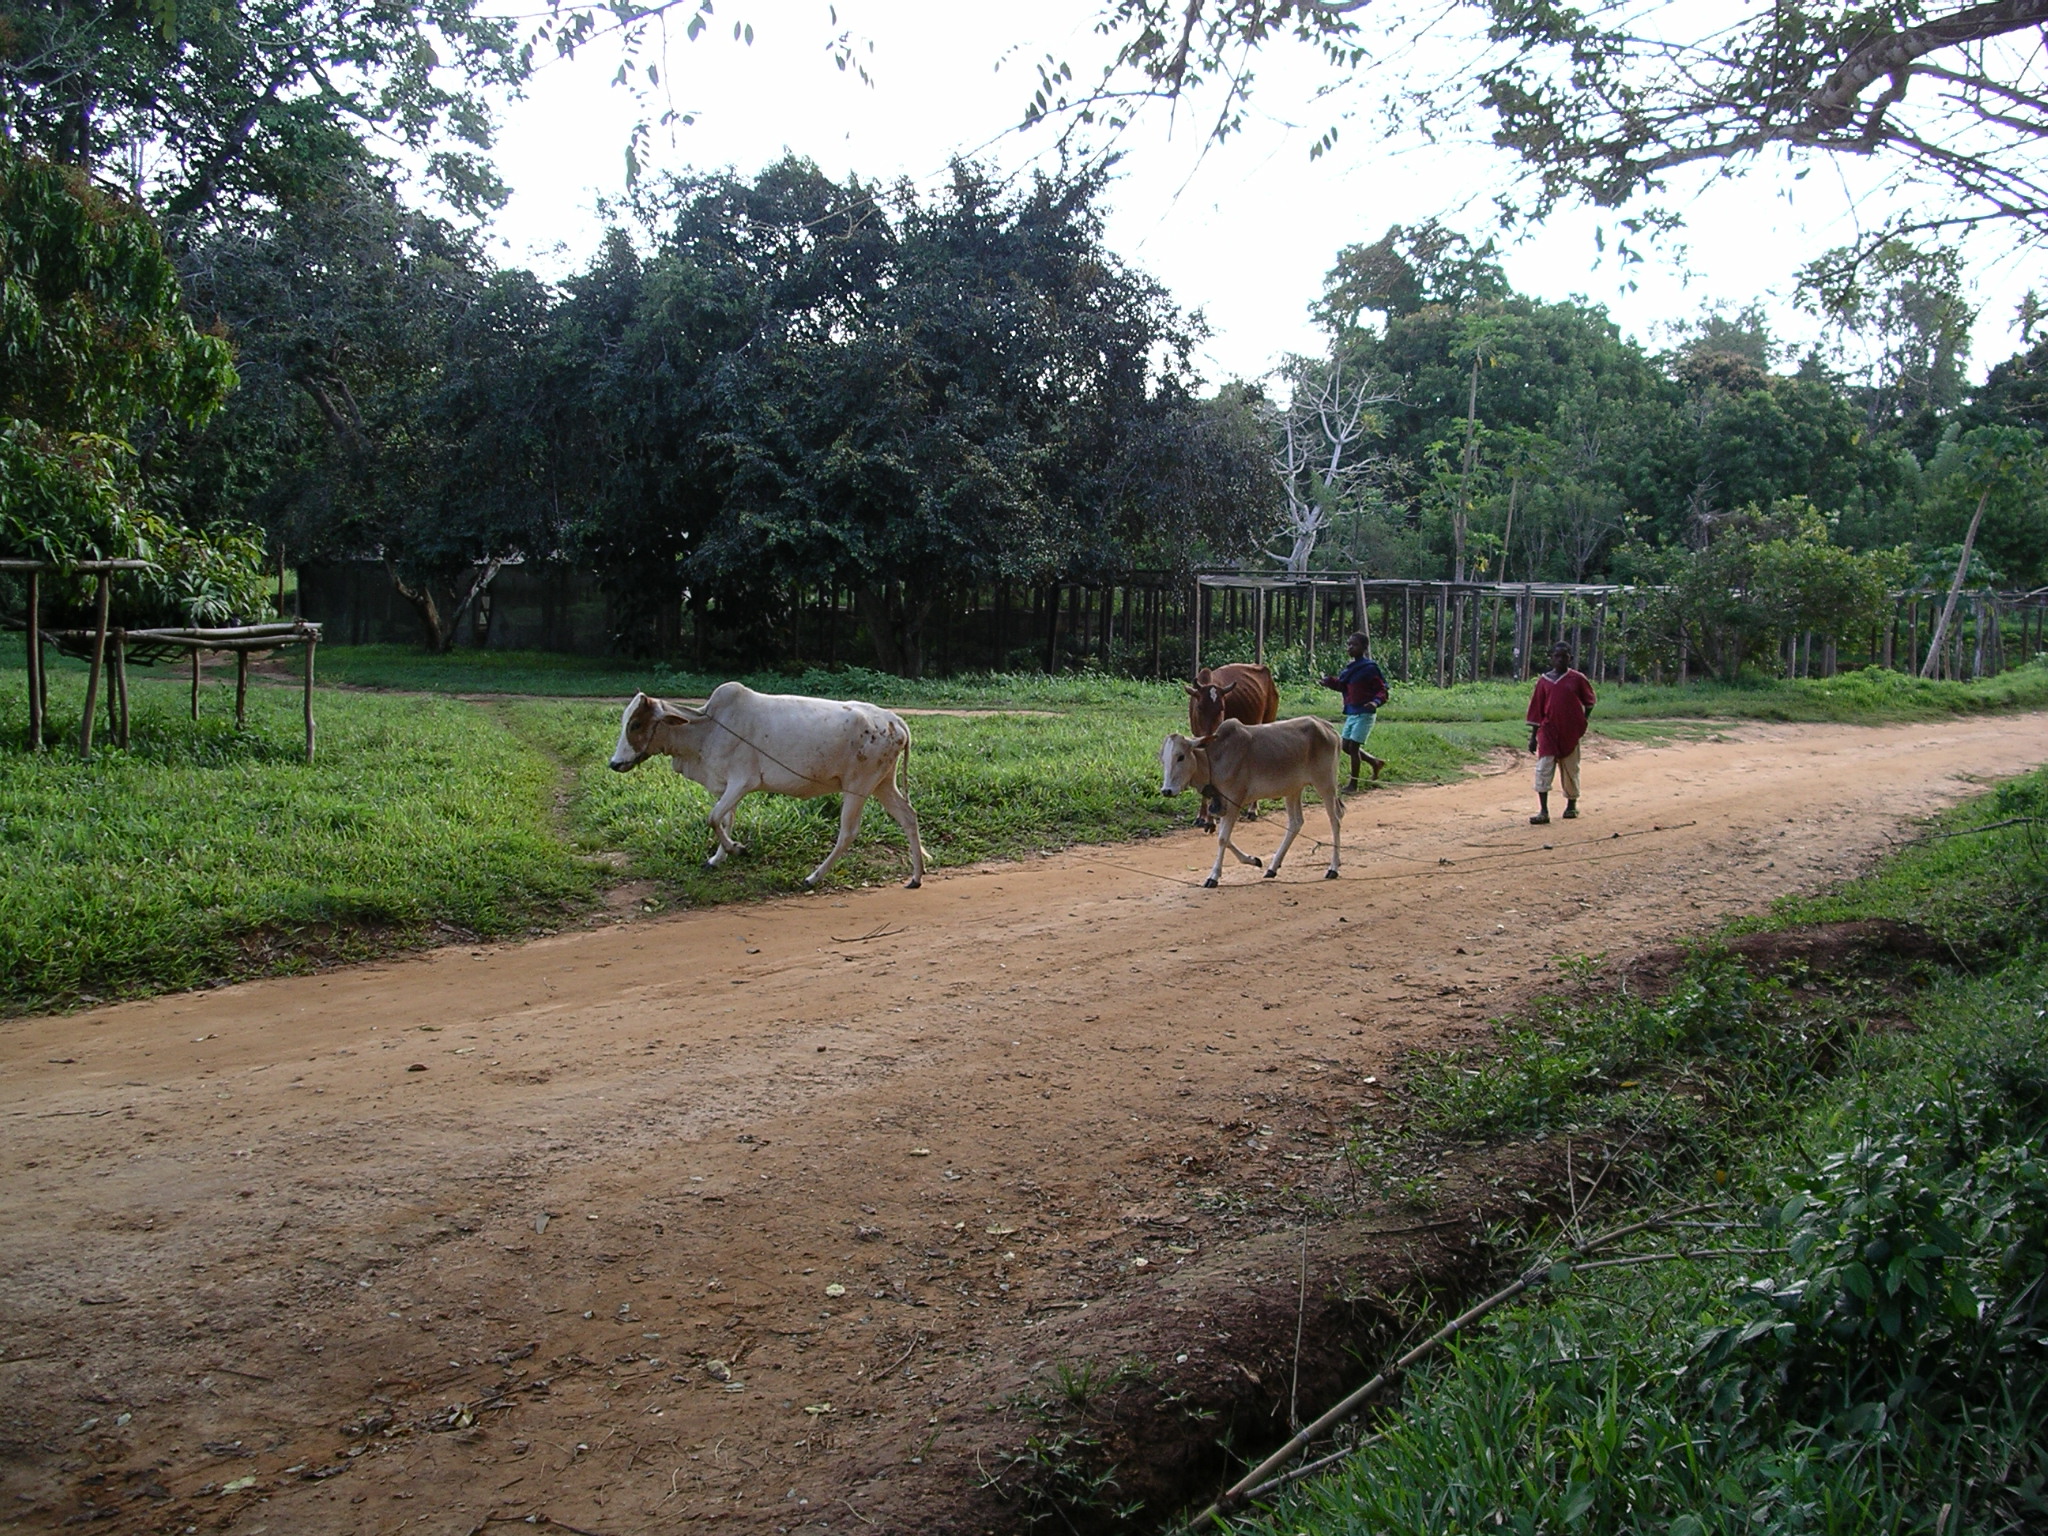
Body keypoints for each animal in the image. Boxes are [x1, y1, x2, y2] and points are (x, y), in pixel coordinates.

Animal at [609, 685, 926, 890]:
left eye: (635, 724)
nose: (614, 763)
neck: (706, 730)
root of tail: (895, 720)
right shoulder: (727, 787)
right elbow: (725, 820)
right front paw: (717, 858)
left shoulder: (742, 782)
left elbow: (713, 818)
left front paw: (737, 849)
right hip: (882, 783)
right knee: (908, 816)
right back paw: (916, 876)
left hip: (857, 786)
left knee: (848, 832)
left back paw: (813, 877)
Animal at [1158, 716, 1343, 887]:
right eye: (1163, 760)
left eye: (1181, 757)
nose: (1166, 790)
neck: (1214, 758)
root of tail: (1327, 726)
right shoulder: (1223, 805)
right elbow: (1223, 837)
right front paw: (1253, 860)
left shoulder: (1234, 801)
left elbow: (1223, 838)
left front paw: (1213, 876)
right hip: (1293, 790)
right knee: (1296, 823)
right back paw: (1272, 867)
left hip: (1326, 783)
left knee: (1335, 820)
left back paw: (1333, 868)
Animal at [1184, 663, 1279, 828]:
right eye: (1200, 707)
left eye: (1222, 708)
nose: (1209, 738)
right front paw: (1201, 816)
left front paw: (1212, 818)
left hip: (1267, 720)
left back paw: (1253, 809)